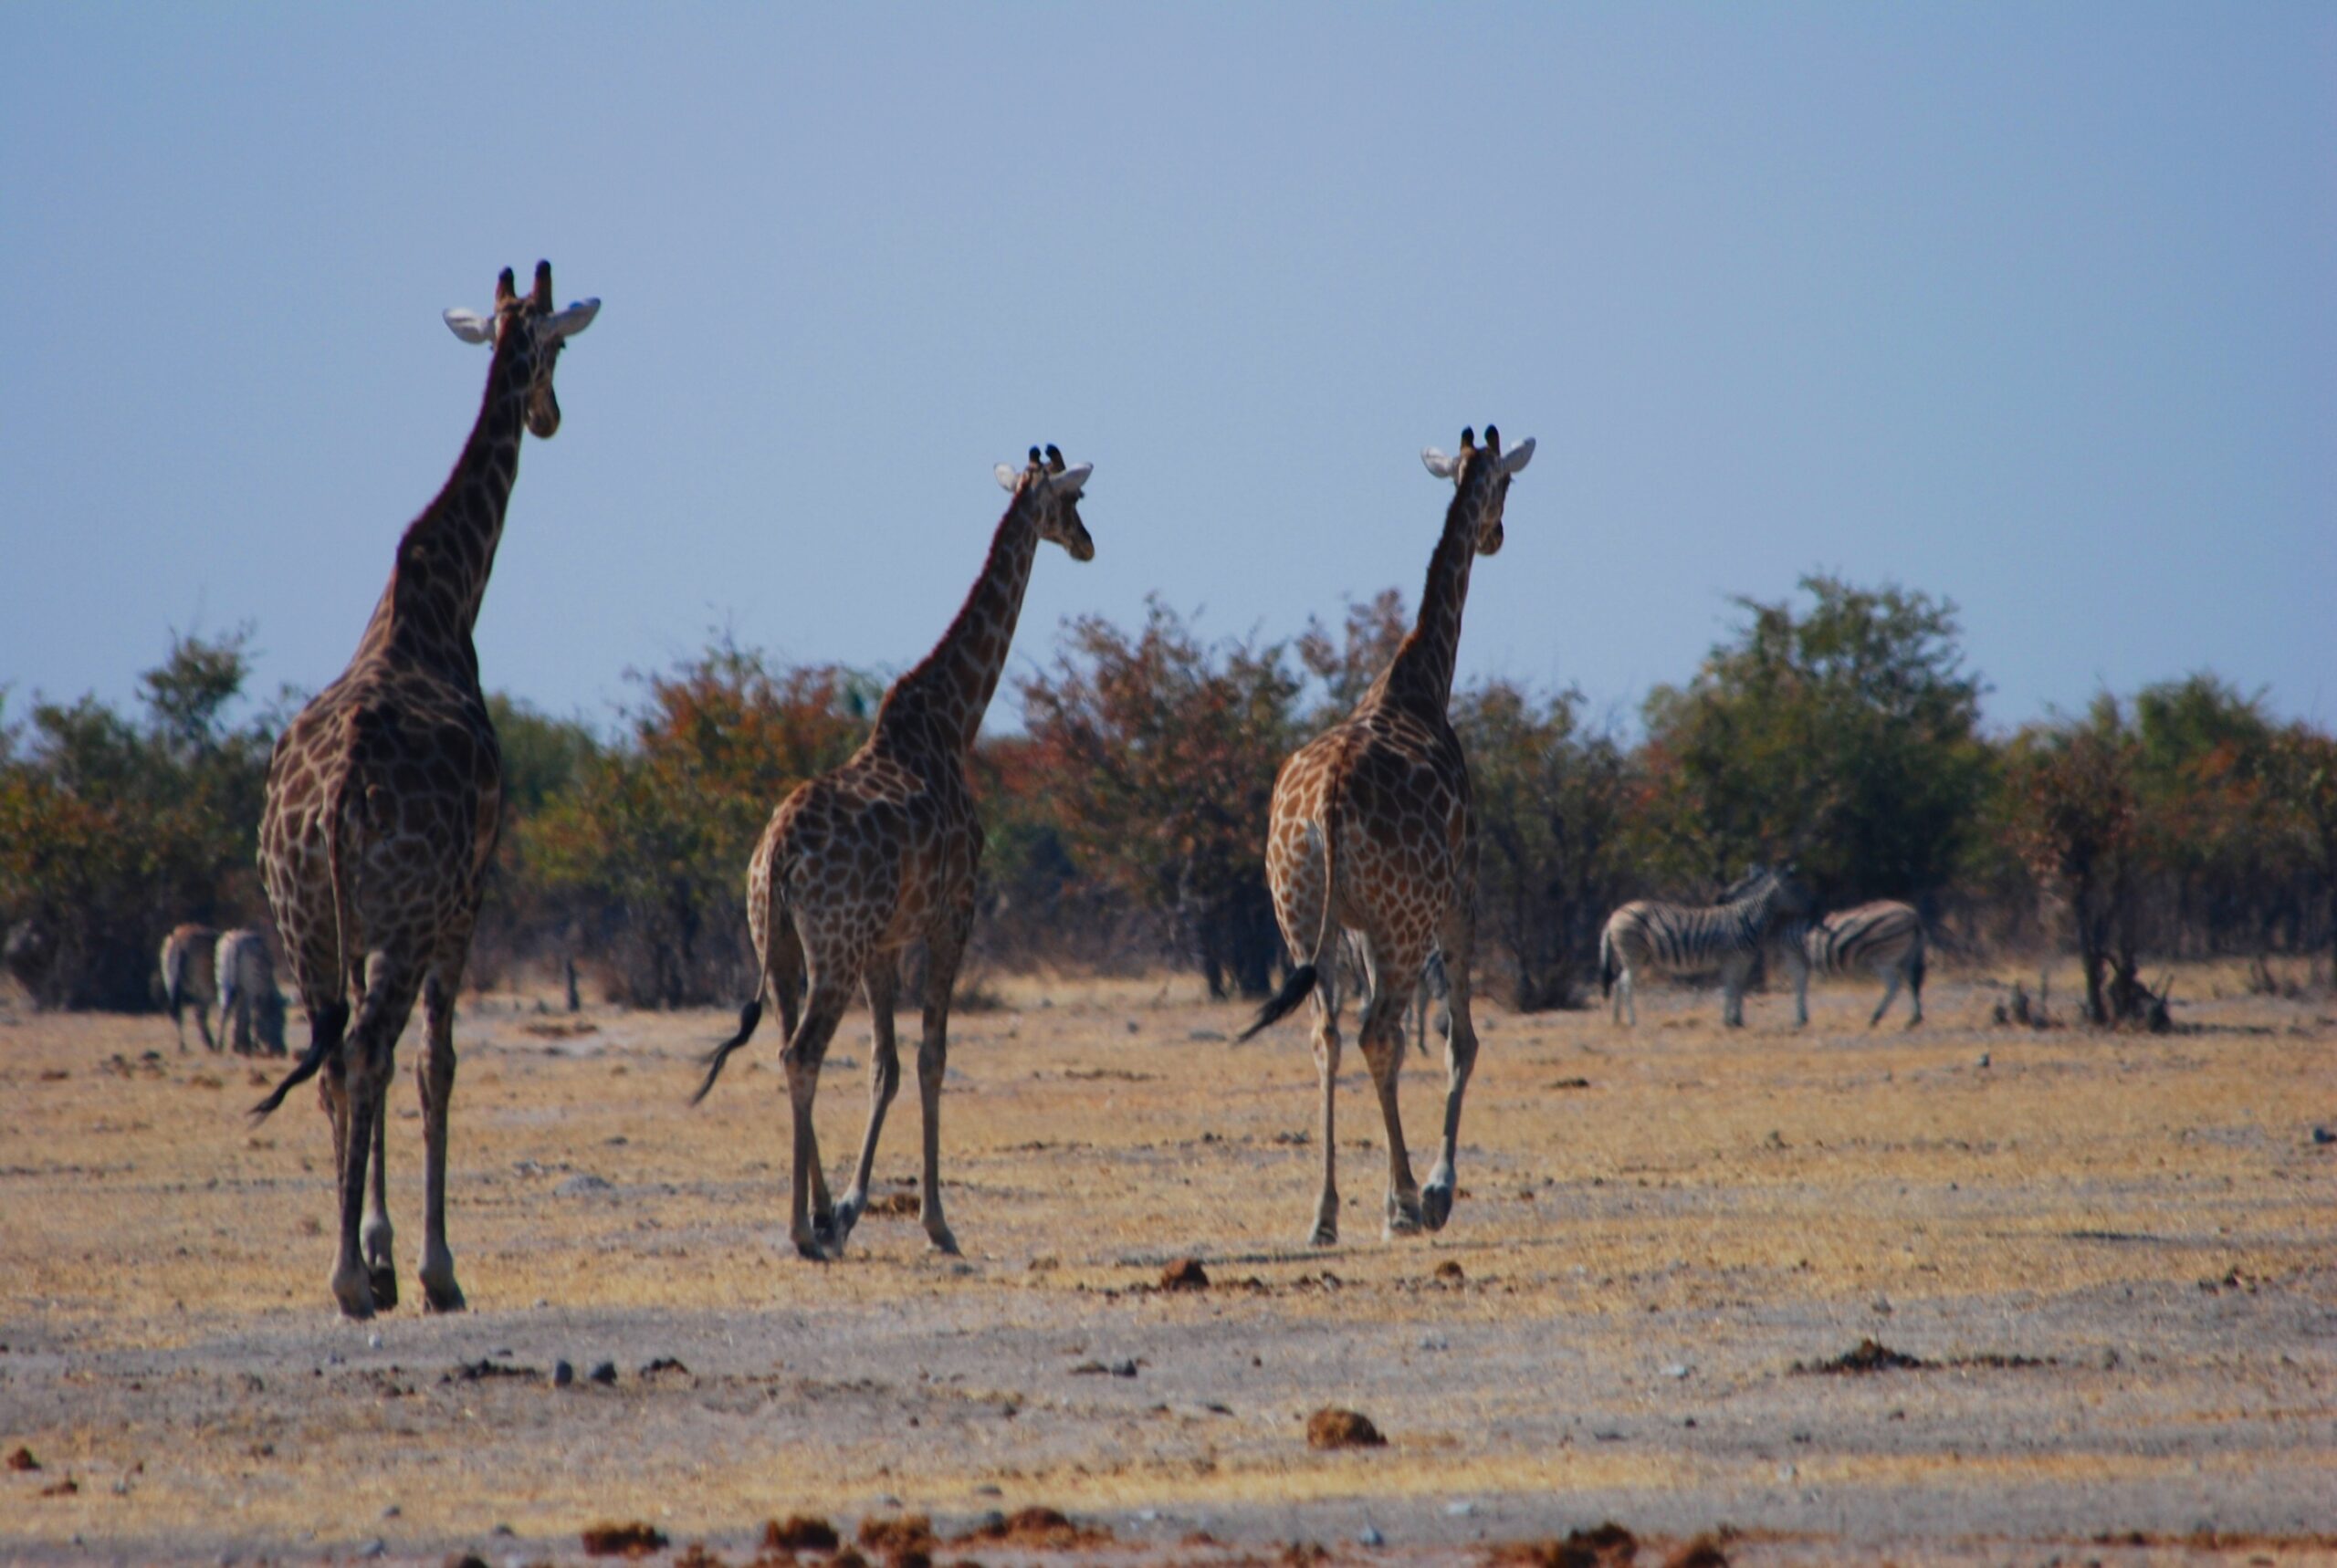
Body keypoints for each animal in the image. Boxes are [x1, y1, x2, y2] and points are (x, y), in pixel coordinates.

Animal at [159, 923, 220, 1051]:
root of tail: (180, 939)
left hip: (175, 989)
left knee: (178, 1015)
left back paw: (183, 1046)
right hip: (204, 993)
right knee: (199, 1015)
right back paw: (210, 1043)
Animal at [215, 928, 289, 1056]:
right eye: (280, 1020)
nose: (282, 1051)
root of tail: (235, 942)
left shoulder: (241, 992)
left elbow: (238, 1015)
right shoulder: (257, 994)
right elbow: (254, 1017)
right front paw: (251, 1044)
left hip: (223, 983)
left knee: (224, 1011)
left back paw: (220, 1046)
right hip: (249, 987)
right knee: (245, 1014)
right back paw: (243, 1047)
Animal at [1598, 865, 1813, 1027]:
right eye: (1797, 890)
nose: (1814, 906)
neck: (1749, 918)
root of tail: (1614, 915)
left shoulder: (1744, 960)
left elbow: (1739, 988)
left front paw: (1738, 1020)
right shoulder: (1731, 958)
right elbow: (1730, 989)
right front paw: (1728, 1021)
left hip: (1630, 957)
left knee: (1617, 982)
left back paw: (1617, 1020)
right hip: (1634, 955)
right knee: (1626, 984)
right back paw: (1632, 1021)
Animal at [1777, 901, 1926, 1028]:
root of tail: (1912, 915)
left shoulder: (1794, 956)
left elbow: (1799, 986)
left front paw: (1800, 1020)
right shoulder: (1801, 959)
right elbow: (1802, 986)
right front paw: (1803, 1018)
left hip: (1884, 958)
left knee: (1894, 984)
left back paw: (1875, 1017)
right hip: (1908, 955)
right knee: (1912, 981)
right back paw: (1915, 1018)